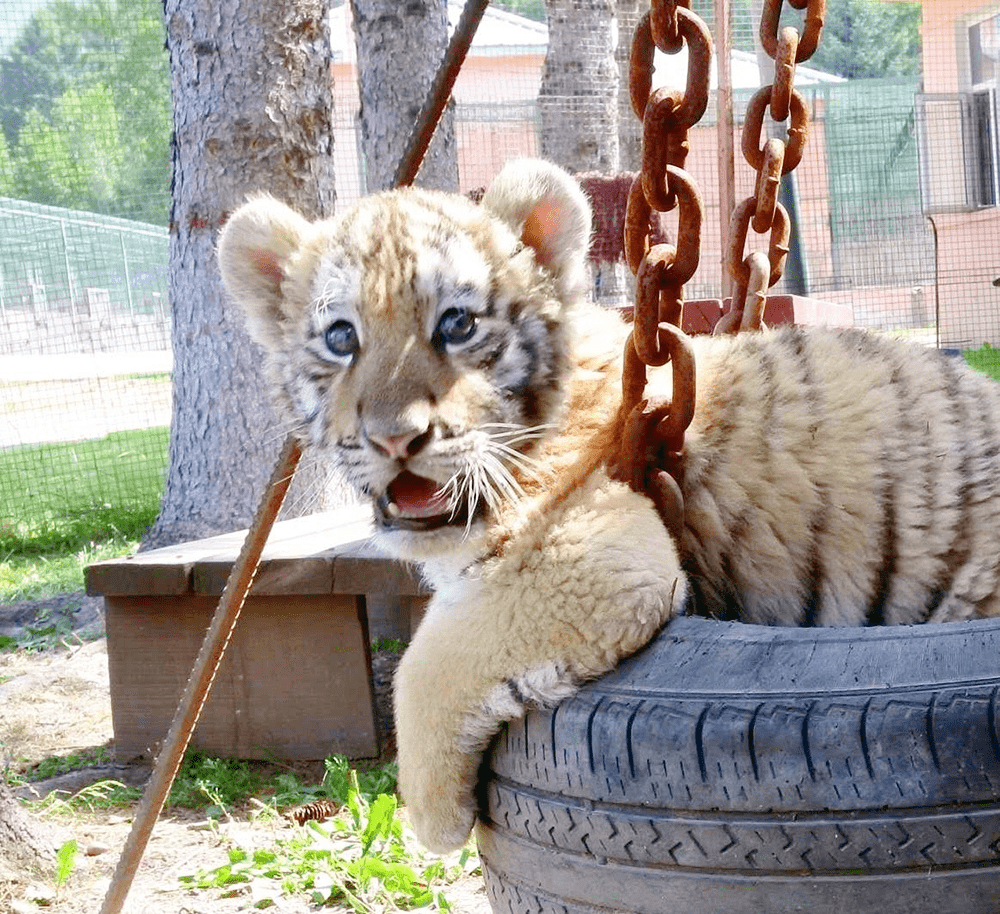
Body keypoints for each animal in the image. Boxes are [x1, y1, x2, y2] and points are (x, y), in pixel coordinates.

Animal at [217, 158, 1000, 854]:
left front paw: (432, 820)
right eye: (341, 337)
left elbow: (426, 660)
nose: (394, 438)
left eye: (457, 325)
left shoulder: (597, 554)